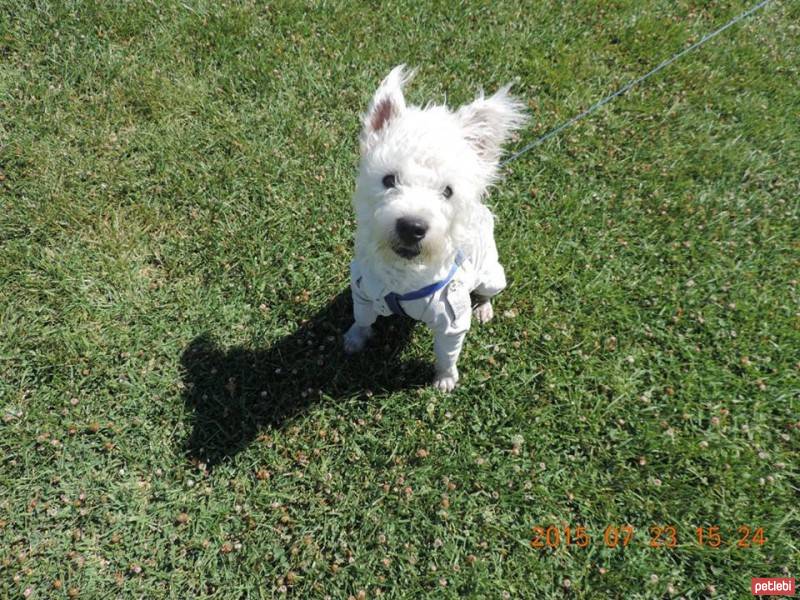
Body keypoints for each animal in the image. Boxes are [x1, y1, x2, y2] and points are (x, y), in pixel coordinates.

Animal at [342, 67, 524, 394]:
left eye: (448, 191)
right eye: (389, 180)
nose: (412, 227)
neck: (403, 277)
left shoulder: (452, 319)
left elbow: (447, 353)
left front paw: (445, 378)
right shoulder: (362, 290)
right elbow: (361, 318)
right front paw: (354, 338)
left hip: (492, 275)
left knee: (486, 292)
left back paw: (484, 308)